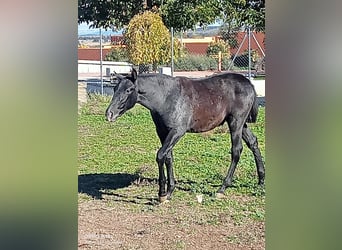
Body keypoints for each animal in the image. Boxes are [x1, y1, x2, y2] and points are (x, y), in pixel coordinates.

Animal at [105, 69, 266, 202]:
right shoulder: (162, 131)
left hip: (236, 122)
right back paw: (261, 180)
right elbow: (168, 157)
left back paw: (222, 188)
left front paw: (162, 194)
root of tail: (248, 83)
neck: (166, 97)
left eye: (129, 90)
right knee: (253, 142)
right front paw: (170, 191)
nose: (109, 114)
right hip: (241, 124)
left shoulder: (177, 131)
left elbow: (160, 155)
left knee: (236, 150)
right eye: (114, 88)